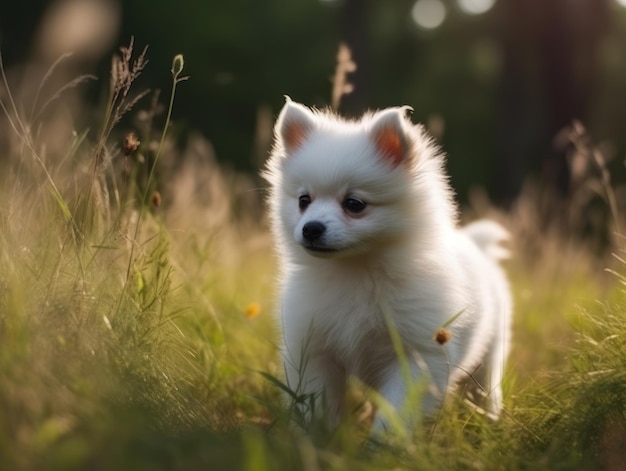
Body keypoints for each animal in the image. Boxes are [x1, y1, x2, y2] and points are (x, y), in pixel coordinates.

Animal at [260, 98, 510, 436]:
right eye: (303, 200)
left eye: (354, 204)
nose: (310, 228)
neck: (356, 271)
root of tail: (476, 244)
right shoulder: (313, 350)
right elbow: (315, 404)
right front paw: (316, 440)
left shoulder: (417, 357)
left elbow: (396, 414)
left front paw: (381, 445)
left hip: (490, 352)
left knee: (484, 387)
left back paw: (490, 420)